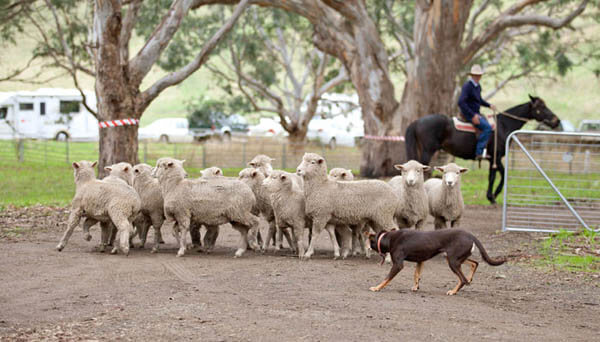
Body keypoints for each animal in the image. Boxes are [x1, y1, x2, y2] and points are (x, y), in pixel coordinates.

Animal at [368, 228, 504, 296]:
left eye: (370, 243)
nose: (368, 247)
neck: (389, 238)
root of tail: (470, 235)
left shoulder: (398, 265)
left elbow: (386, 278)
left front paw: (377, 287)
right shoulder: (420, 260)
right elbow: (416, 275)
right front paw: (416, 286)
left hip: (453, 261)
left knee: (463, 279)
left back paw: (453, 291)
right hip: (455, 258)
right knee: (474, 263)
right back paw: (469, 279)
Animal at [406, 95, 560, 203]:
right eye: (542, 107)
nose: (556, 121)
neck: (503, 125)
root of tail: (417, 122)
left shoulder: (492, 159)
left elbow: (492, 176)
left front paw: (491, 196)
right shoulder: (496, 158)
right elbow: (501, 175)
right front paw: (493, 195)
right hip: (427, 151)